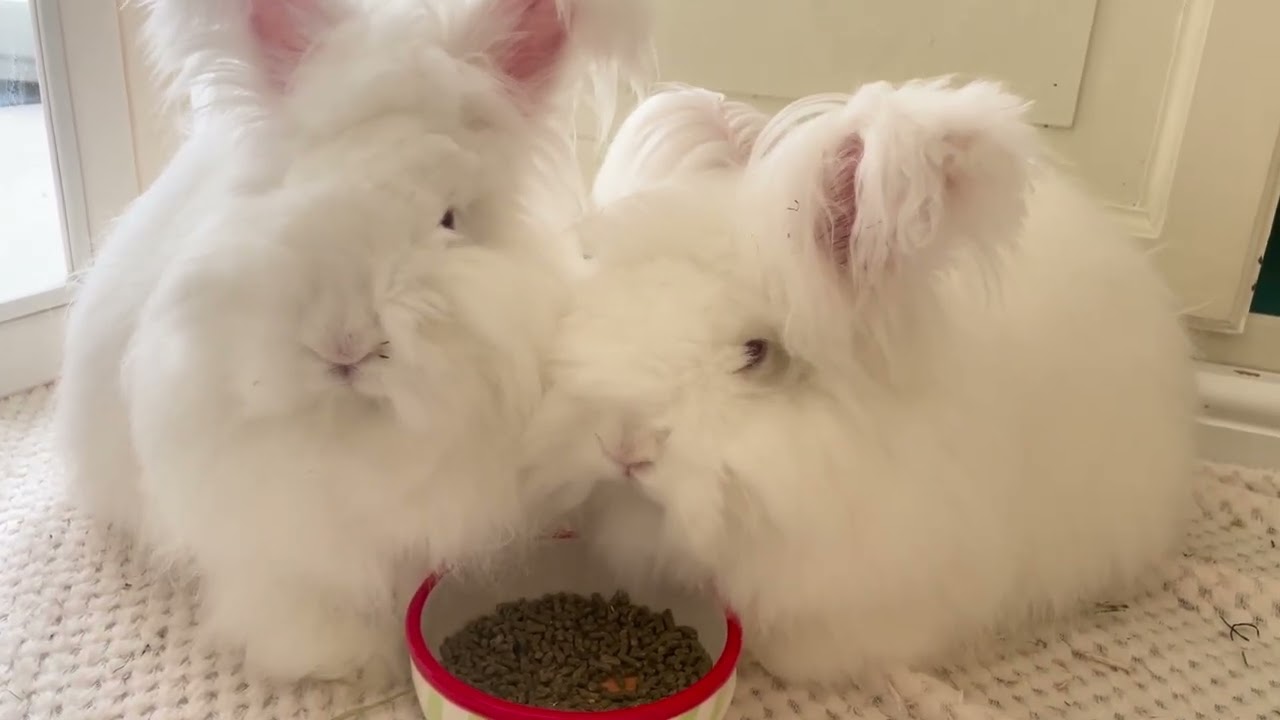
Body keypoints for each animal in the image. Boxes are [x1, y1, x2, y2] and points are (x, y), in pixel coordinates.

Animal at [53, 0, 652, 682]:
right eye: (300, 186)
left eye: (449, 218)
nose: (346, 344)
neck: (357, 431)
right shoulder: (275, 537)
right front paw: (334, 659)